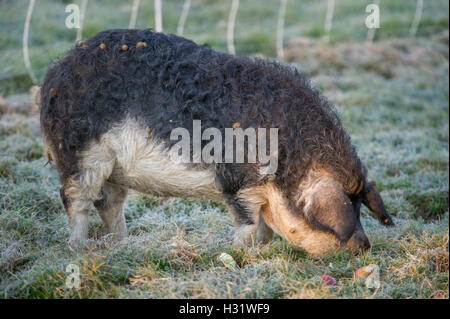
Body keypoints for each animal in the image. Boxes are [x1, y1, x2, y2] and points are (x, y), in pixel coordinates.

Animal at [40, 28, 392, 256]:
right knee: (76, 199)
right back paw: (81, 249)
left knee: (109, 202)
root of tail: (52, 76)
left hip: (114, 169)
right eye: (348, 207)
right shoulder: (236, 182)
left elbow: (264, 227)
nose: (365, 246)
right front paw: (241, 254)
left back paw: (121, 245)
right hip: (80, 152)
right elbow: (247, 225)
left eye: (361, 206)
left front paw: (263, 251)